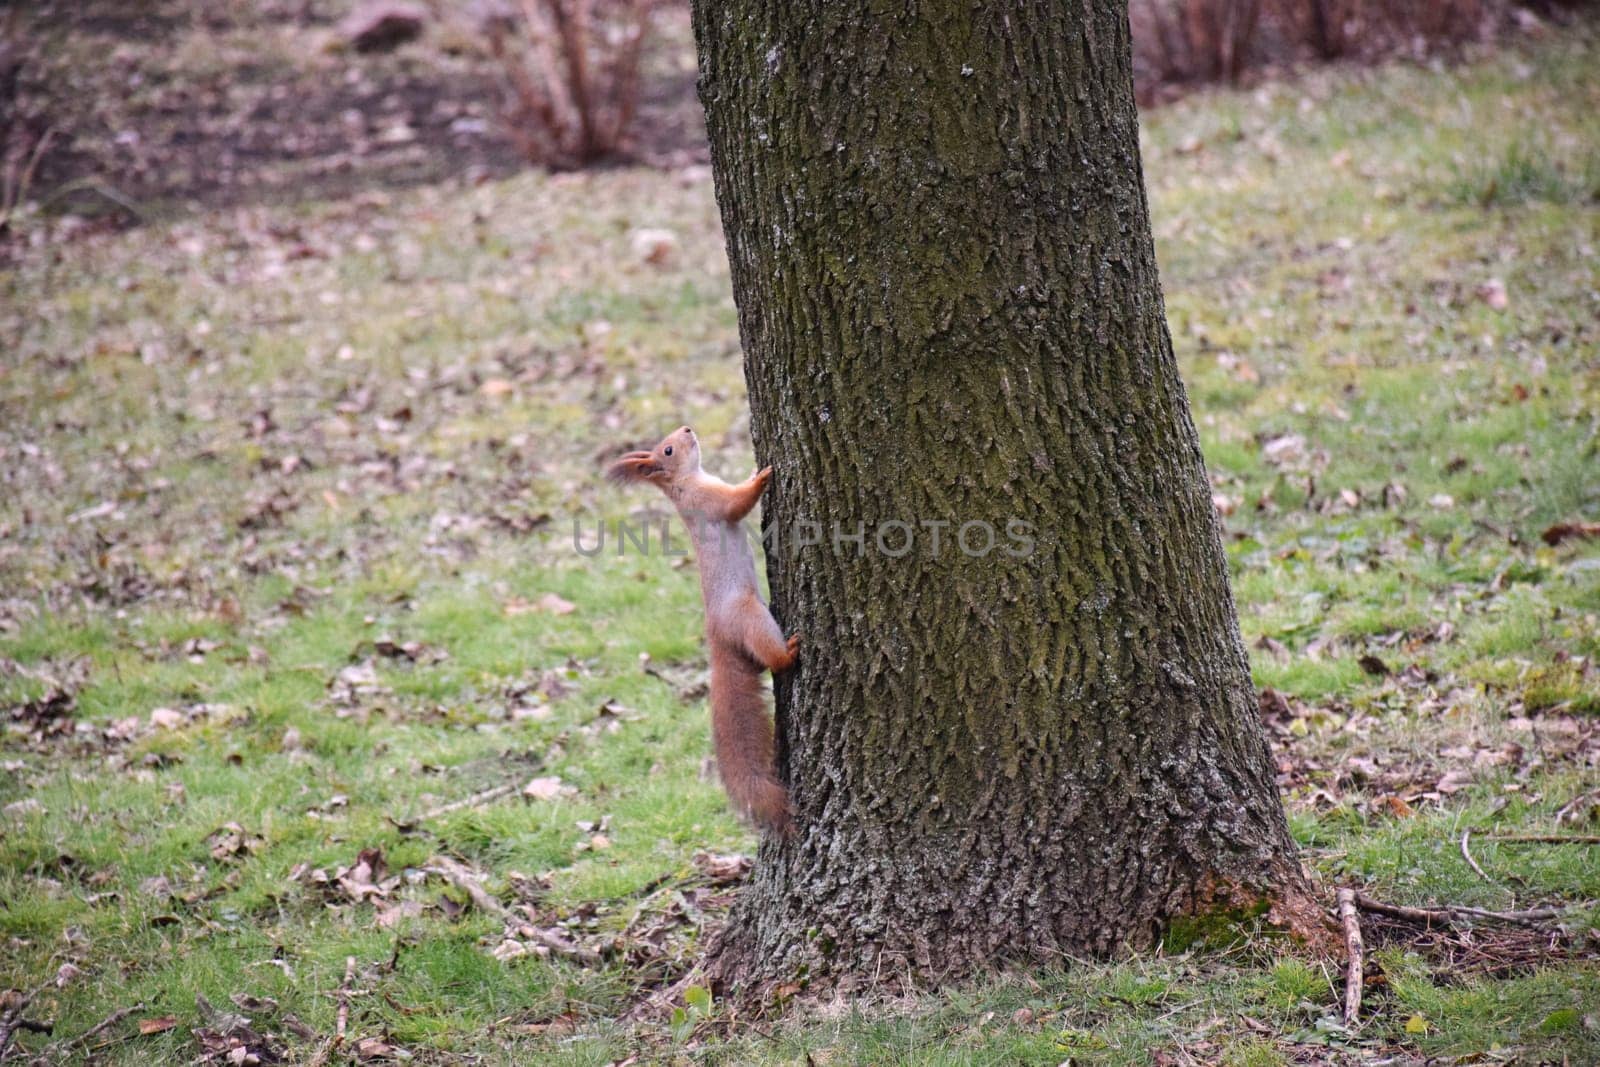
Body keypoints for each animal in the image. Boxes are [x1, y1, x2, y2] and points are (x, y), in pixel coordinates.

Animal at [601, 425, 796, 831]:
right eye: (668, 450)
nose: (688, 428)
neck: (687, 480)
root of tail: (717, 640)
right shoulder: (708, 501)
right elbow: (736, 504)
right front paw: (761, 476)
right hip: (749, 616)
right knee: (773, 659)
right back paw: (790, 651)